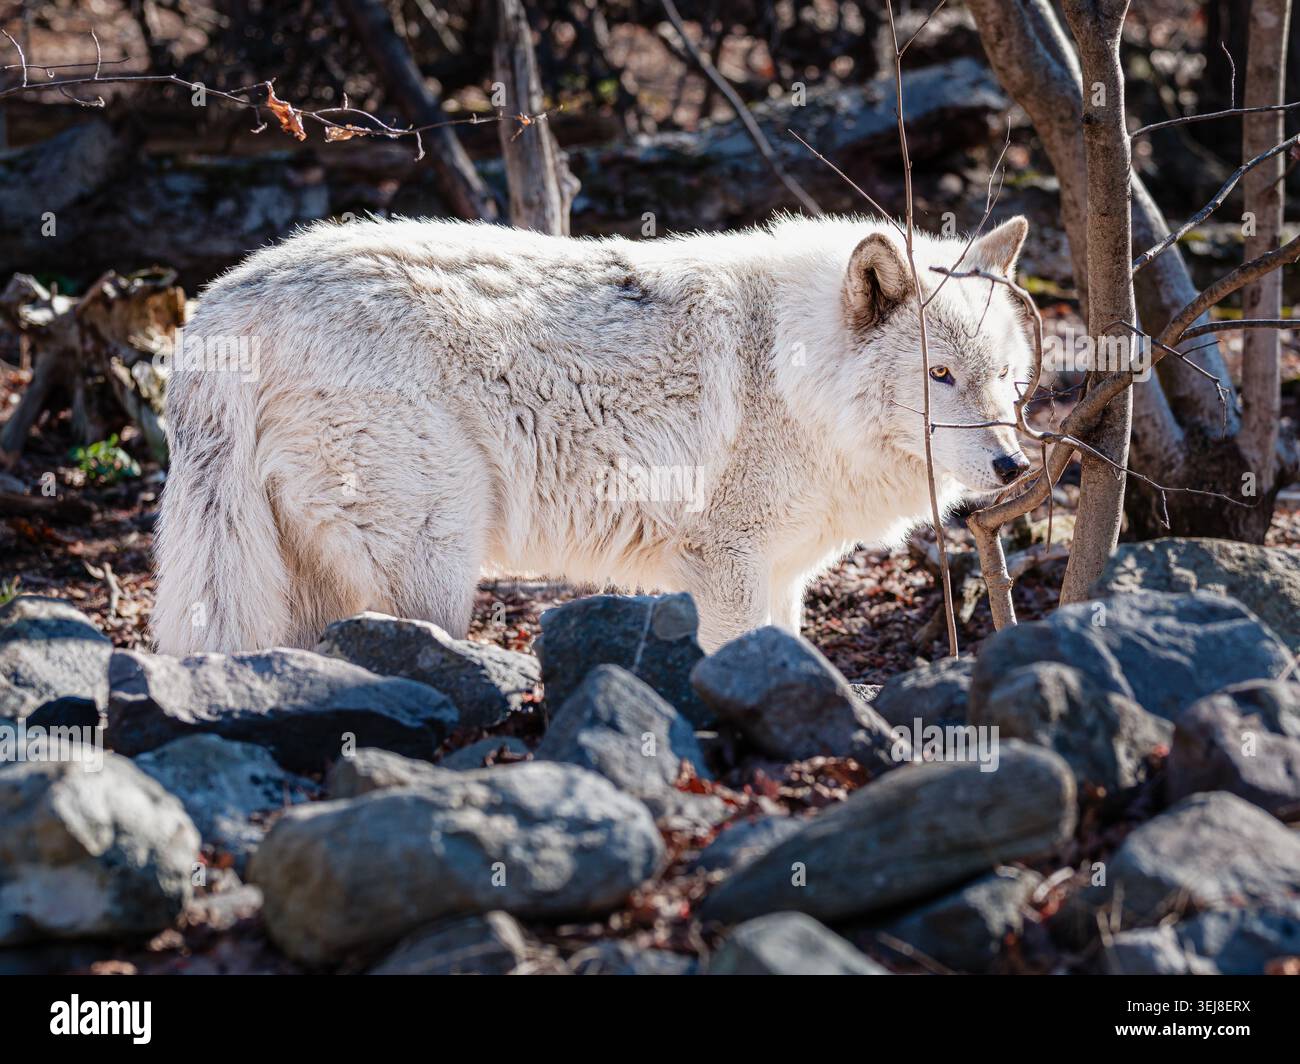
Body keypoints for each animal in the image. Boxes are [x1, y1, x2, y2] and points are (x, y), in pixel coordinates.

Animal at [153, 213, 1033, 655]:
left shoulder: (782, 574)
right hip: (435, 559)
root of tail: (226, 303)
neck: (792, 374)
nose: (1013, 463)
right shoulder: (726, 565)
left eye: (1003, 374)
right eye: (940, 376)